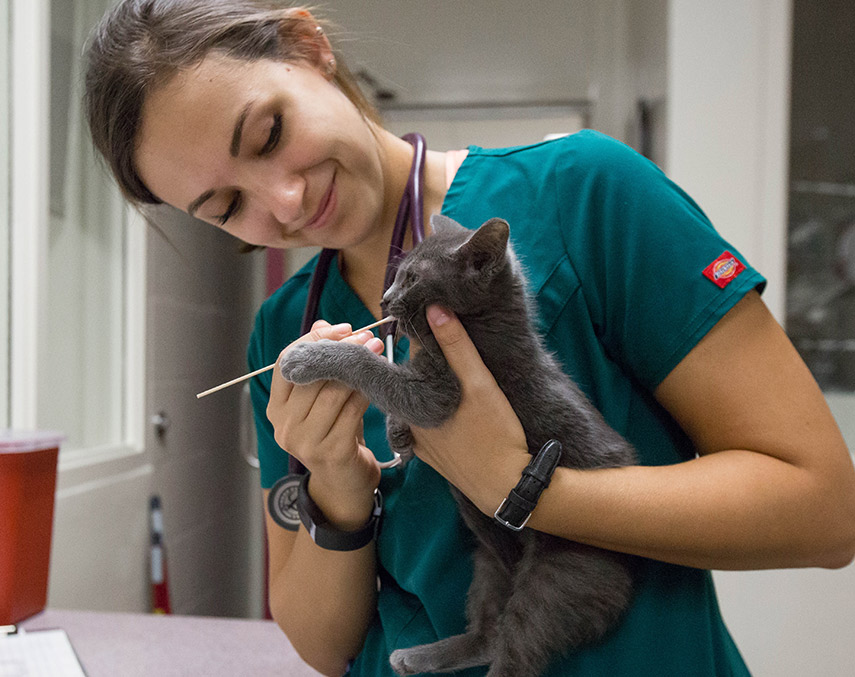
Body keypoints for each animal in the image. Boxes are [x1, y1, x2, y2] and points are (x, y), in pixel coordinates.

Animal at [280, 217, 636, 676]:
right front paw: (398, 436)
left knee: (516, 649)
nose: (385, 298)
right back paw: (418, 656)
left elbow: (378, 370)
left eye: (412, 278)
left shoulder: (441, 393)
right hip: (487, 561)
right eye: (397, 275)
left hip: (561, 575)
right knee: (488, 634)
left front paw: (311, 356)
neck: (483, 326)